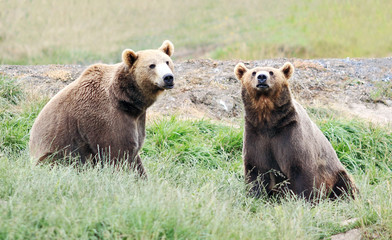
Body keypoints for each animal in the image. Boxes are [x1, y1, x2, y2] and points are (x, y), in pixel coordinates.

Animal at [28, 39, 174, 178]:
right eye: (152, 65)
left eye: (167, 62)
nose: (168, 77)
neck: (125, 100)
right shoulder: (105, 118)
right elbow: (118, 152)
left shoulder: (137, 118)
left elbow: (135, 155)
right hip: (55, 152)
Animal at [234, 62, 356, 201]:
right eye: (253, 72)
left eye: (271, 72)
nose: (262, 77)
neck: (268, 120)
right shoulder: (255, 134)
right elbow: (255, 170)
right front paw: (254, 196)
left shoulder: (290, 132)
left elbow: (300, 168)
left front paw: (303, 199)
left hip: (335, 174)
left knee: (344, 184)